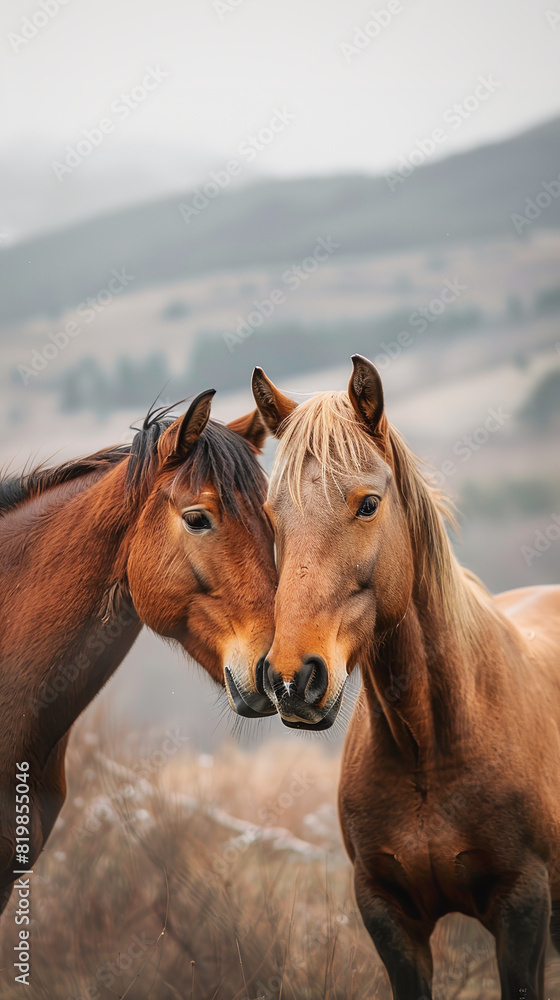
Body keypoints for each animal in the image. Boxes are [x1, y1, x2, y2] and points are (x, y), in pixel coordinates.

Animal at [250, 356, 560, 1000]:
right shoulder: (390, 918)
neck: (430, 745)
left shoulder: (523, 910)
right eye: (271, 514)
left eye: (369, 504)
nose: (293, 679)